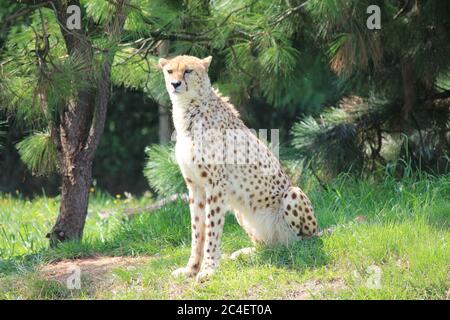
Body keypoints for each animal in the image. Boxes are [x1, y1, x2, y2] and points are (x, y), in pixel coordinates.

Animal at [160, 56, 318, 282]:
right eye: (170, 71)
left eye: (188, 70)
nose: (175, 84)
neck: (189, 110)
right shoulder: (195, 187)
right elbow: (197, 230)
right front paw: (191, 269)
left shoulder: (215, 186)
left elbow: (212, 229)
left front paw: (208, 269)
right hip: (242, 212)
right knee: (269, 246)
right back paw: (247, 253)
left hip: (293, 194)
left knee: (300, 242)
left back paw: (297, 247)